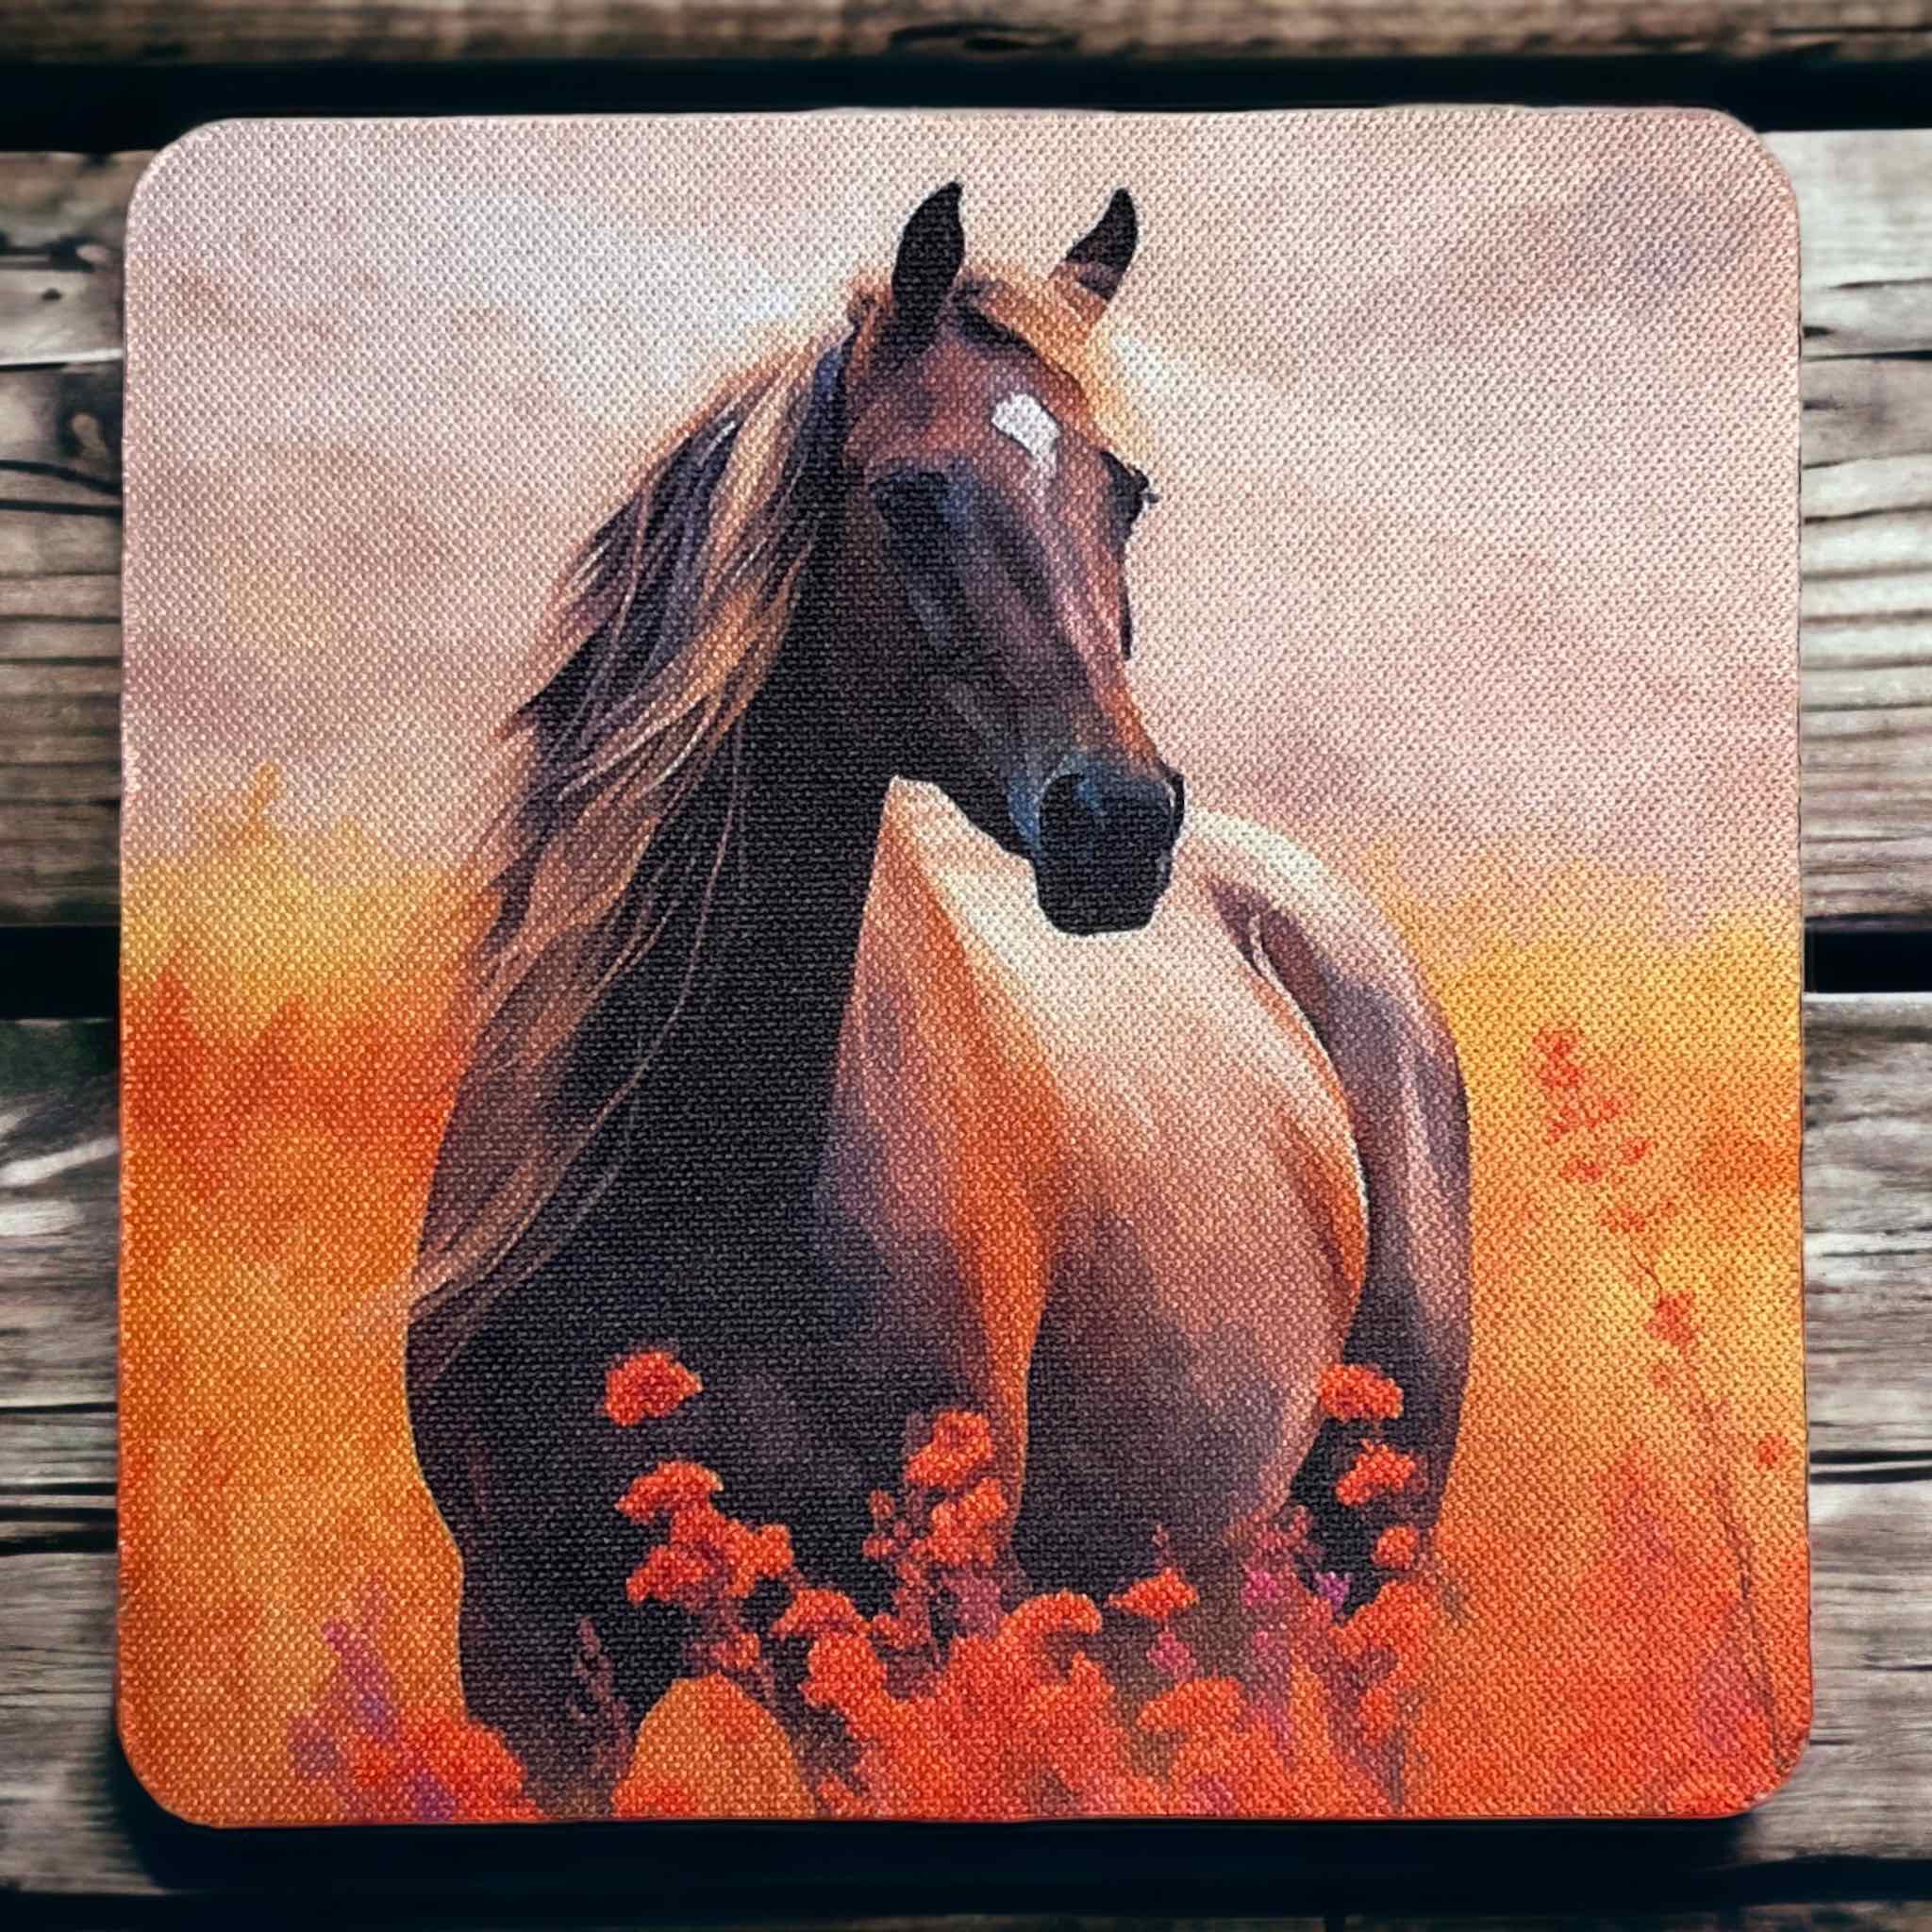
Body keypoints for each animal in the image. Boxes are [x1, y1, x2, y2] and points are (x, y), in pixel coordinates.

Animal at [405, 182, 1472, 1813]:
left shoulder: (889, 1661)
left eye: (1125, 494)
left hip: (1365, 1559)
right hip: (1174, 1606)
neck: (700, 1178)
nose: (1118, 821)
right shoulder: (528, 1661)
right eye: (908, 494)